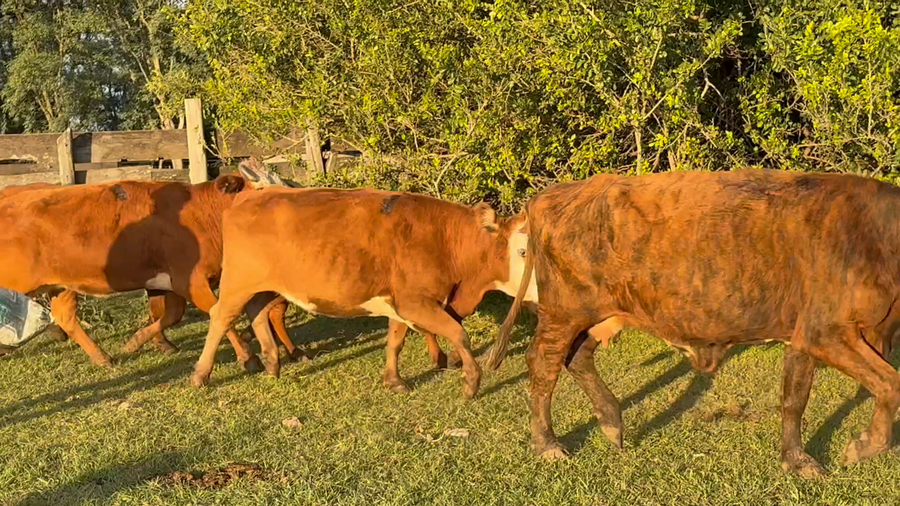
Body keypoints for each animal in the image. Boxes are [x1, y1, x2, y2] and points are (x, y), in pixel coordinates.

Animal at [0, 160, 286, 370]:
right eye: (260, 191)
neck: (202, 214)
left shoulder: (166, 283)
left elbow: (169, 315)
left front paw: (140, 342)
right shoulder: (191, 281)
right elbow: (219, 314)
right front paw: (248, 358)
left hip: (63, 285)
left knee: (65, 316)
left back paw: (102, 357)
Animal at [189, 187, 538, 397]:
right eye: (523, 251)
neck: (445, 239)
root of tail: (251, 196)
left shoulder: (399, 302)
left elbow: (395, 340)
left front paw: (394, 380)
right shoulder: (416, 302)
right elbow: (458, 333)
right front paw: (471, 381)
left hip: (268, 287)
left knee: (258, 313)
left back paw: (273, 364)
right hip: (238, 282)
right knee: (220, 317)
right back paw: (202, 374)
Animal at [486, 168, 900, 478]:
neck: (874, 236)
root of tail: (553, 196)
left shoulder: (803, 335)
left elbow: (794, 399)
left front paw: (797, 461)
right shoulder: (827, 333)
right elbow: (890, 385)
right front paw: (861, 447)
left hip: (600, 315)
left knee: (577, 358)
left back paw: (612, 423)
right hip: (564, 313)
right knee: (544, 364)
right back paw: (548, 445)